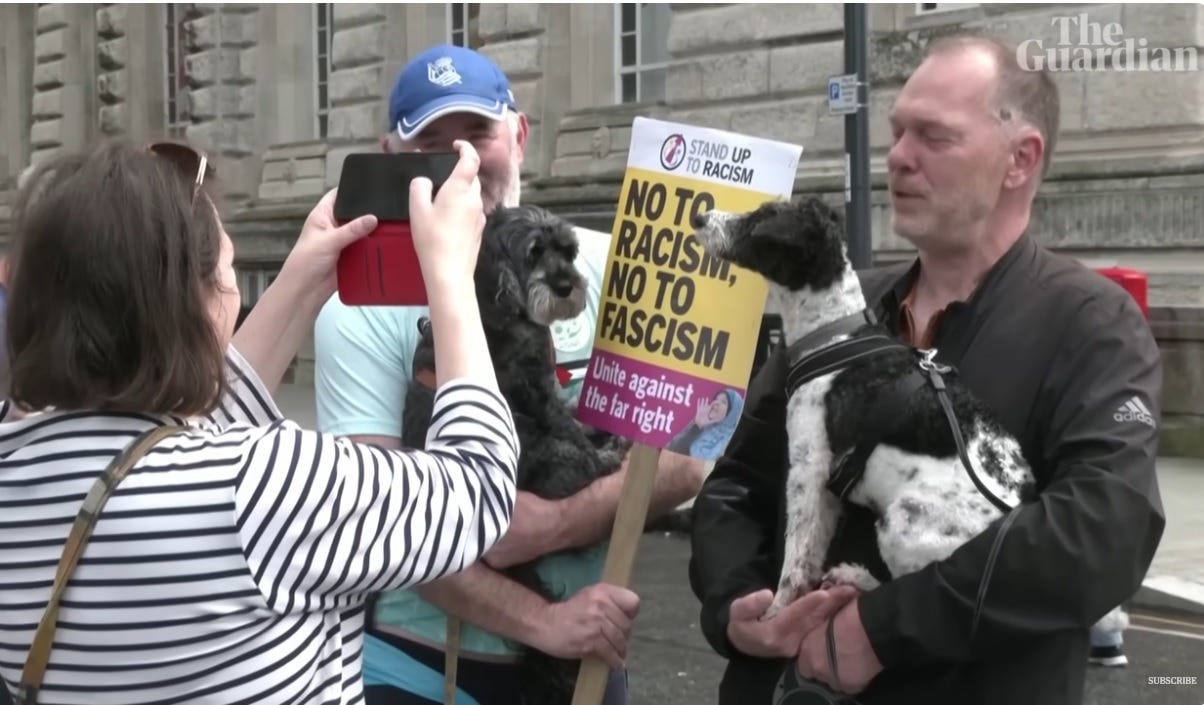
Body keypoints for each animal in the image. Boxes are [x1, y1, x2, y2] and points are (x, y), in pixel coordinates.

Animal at [402, 203, 630, 702]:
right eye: (534, 252)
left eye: (568, 249)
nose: (567, 285)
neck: (491, 297)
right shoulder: (535, 386)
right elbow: (566, 424)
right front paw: (597, 440)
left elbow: (573, 414)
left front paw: (598, 425)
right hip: (539, 453)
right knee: (578, 471)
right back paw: (609, 455)